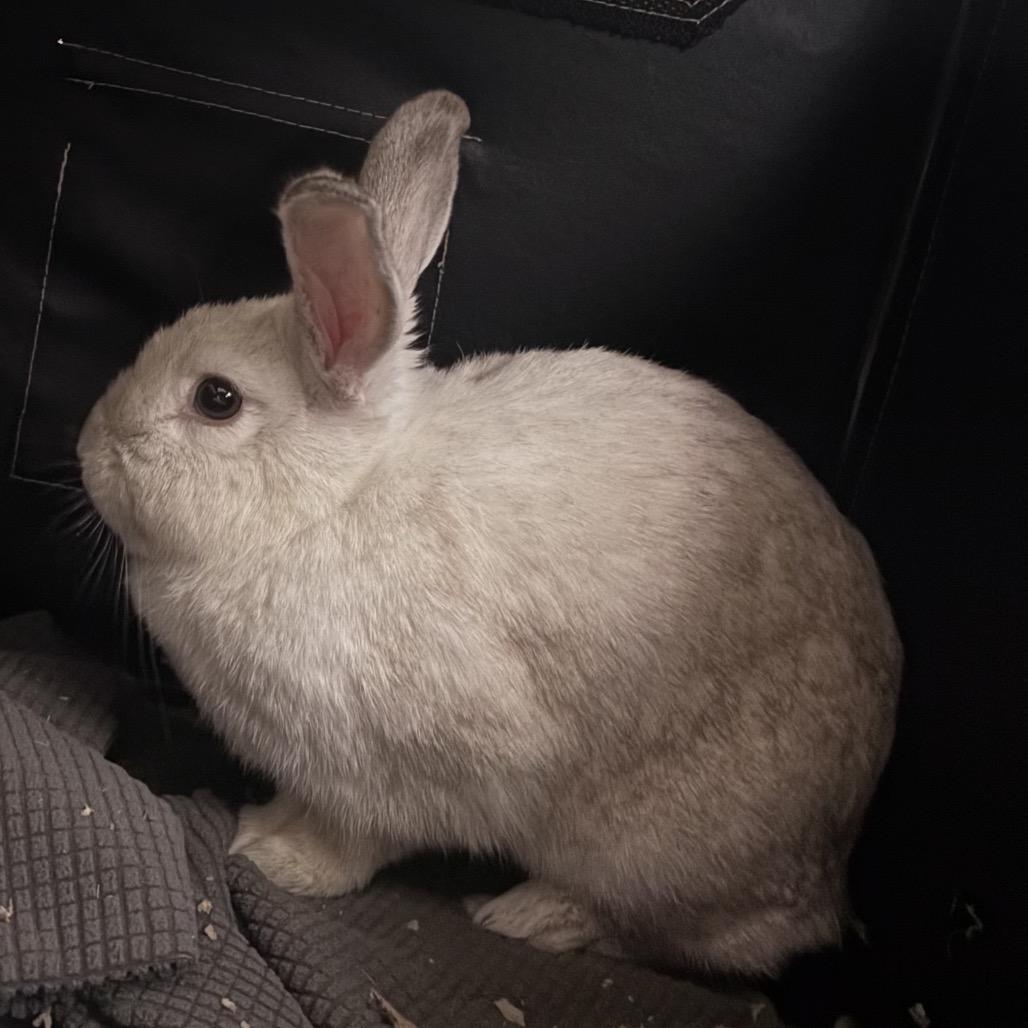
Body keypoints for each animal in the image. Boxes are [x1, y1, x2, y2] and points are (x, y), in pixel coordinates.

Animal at [77, 89, 901, 976]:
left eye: (217, 399)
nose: (89, 446)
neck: (327, 503)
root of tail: (831, 872)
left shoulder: (400, 772)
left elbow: (357, 840)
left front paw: (280, 862)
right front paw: (264, 825)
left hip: (642, 847)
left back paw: (527, 916)